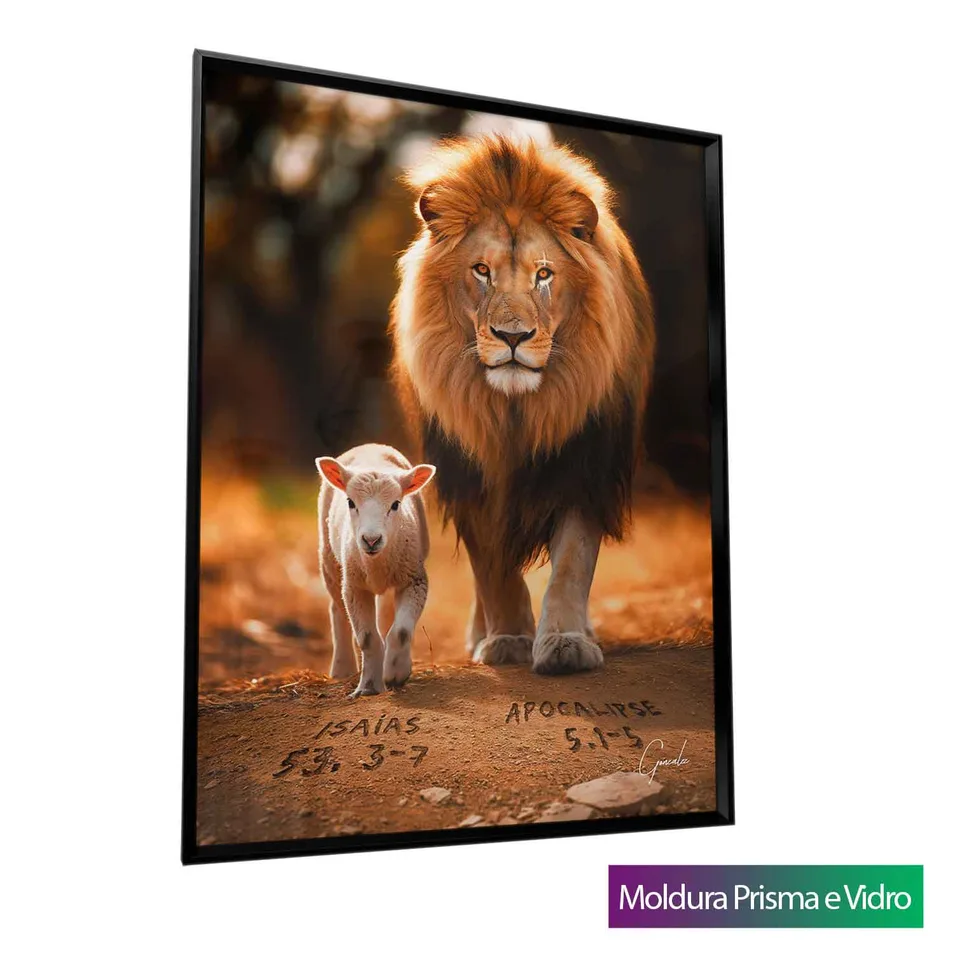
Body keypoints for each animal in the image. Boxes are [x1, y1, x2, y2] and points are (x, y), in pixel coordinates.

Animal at [390, 135, 655, 674]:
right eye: (482, 271)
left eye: (544, 275)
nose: (513, 337)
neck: (516, 412)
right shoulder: (469, 473)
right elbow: (492, 567)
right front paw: (509, 638)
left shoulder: (584, 465)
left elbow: (573, 561)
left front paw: (566, 643)